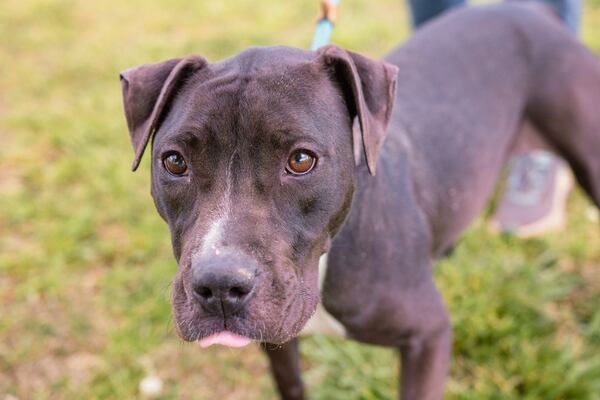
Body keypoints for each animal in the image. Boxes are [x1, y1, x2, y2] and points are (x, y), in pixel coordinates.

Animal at [118, 2, 600, 396]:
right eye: (175, 161)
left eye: (301, 160)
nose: (219, 284)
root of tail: (529, 9)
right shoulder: (279, 347)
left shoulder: (428, 337)